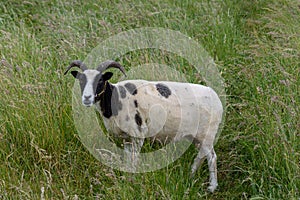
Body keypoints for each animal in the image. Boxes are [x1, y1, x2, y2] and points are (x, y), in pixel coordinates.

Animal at [63, 59, 223, 192]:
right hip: (196, 136)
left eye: (101, 80)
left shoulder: (138, 133)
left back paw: (212, 187)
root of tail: (217, 99)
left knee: (212, 157)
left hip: (207, 133)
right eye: (81, 80)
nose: (87, 98)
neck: (115, 99)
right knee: (202, 155)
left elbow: (134, 159)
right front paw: (127, 178)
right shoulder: (126, 138)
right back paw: (191, 175)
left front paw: (132, 180)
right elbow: (128, 158)